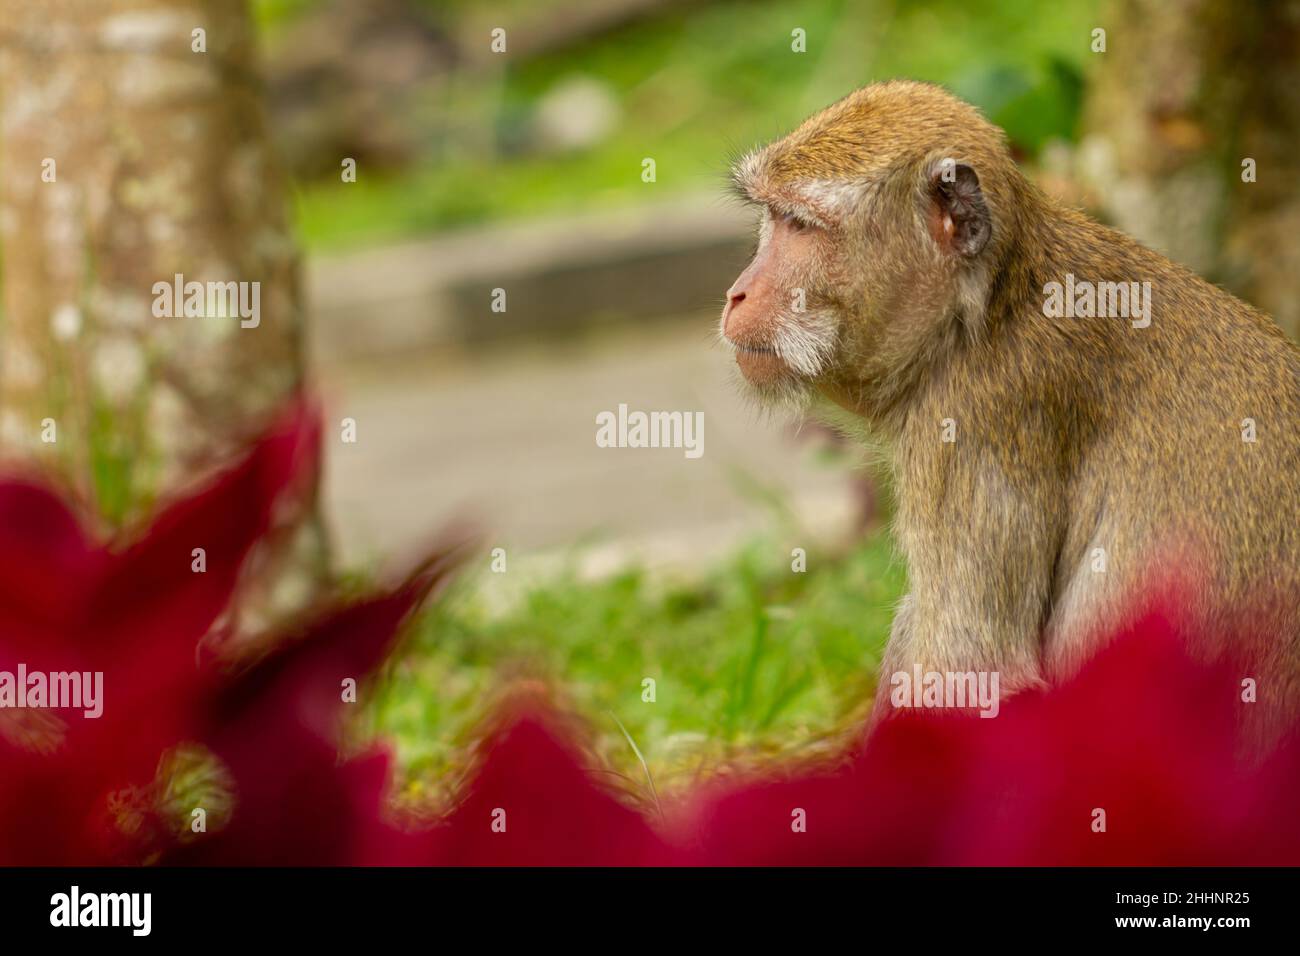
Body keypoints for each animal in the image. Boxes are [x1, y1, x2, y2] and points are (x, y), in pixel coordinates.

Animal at [720, 80, 1300, 732]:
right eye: (773, 217)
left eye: (800, 225)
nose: (737, 292)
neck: (990, 304)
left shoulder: (973, 420)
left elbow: (972, 682)